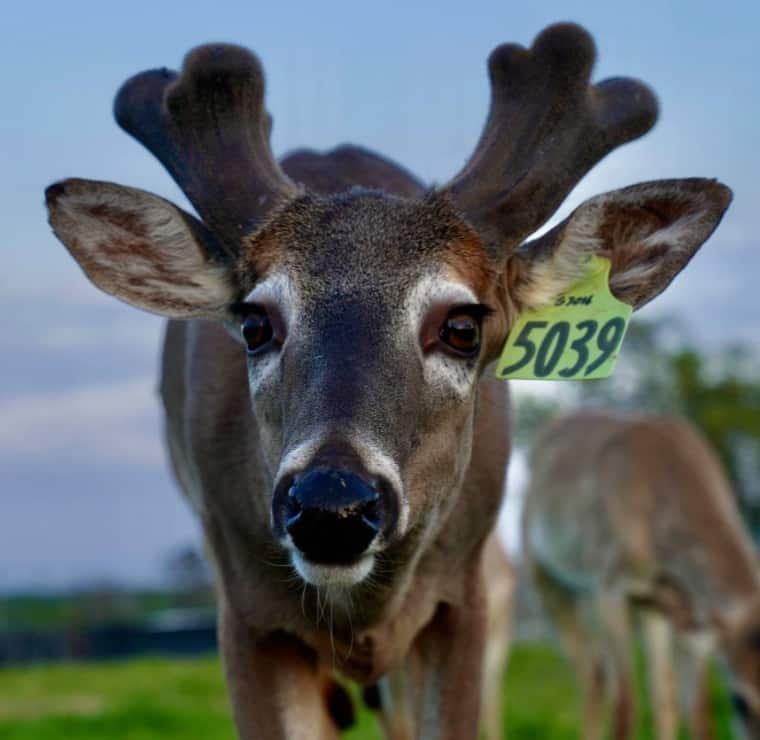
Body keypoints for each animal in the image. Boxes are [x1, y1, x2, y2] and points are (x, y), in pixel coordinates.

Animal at [523, 411, 760, 740]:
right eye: (739, 701)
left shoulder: (688, 614)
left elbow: (699, 715)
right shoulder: (609, 585)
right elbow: (626, 704)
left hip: (651, 609)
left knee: (658, 691)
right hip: (545, 574)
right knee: (594, 672)